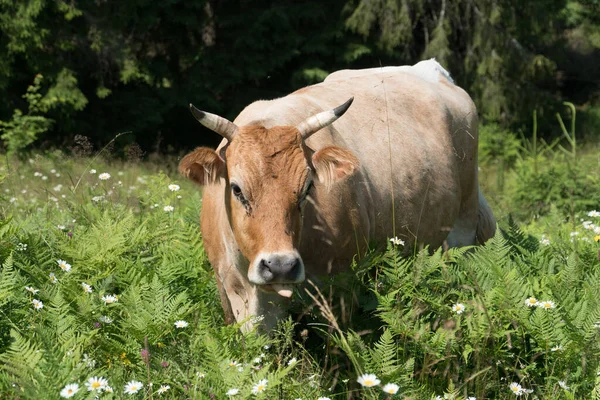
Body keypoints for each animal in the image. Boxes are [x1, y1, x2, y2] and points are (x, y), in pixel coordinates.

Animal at [179, 58, 496, 332]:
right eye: (236, 189)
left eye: (307, 189)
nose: (280, 266)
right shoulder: (227, 289)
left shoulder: (340, 285)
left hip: (463, 232)